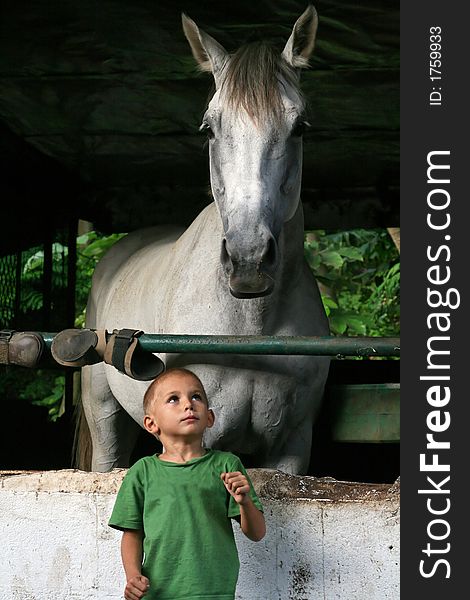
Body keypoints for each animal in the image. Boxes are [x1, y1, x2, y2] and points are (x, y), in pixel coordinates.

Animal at [80, 4, 330, 474]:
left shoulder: (293, 445)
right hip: (104, 417)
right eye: (209, 129)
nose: (249, 260)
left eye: (300, 127)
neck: (250, 328)